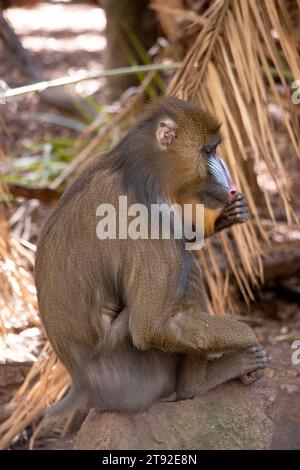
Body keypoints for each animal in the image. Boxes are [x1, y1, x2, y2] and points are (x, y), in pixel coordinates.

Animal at [35, 97, 270, 414]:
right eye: (209, 151)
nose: (231, 188)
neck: (136, 167)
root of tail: (83, 387)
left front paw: (230, 214)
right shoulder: (144, 220)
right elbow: (154, 325)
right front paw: (249, 339)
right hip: (134, 378)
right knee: (187, 273)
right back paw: (199, 383)